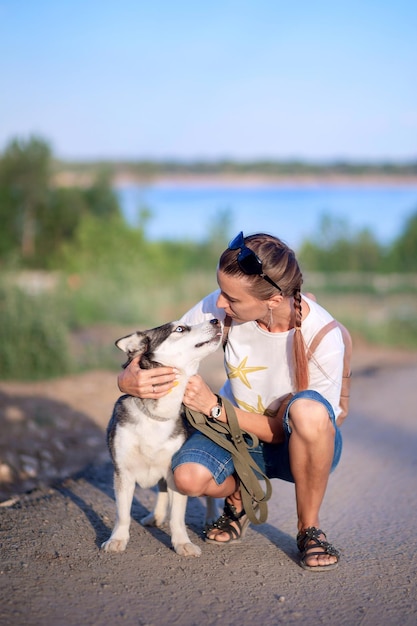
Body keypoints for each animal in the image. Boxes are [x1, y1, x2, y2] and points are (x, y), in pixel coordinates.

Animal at [101, 320, 223, 552]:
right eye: (180, 329)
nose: (216, 320)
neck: (156, 415)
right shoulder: (123, 473)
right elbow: (123, 514)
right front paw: (117, 539)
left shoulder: (175, 474)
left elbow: (177, 517)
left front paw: (182, 543)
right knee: (161, 491)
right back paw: (155, 516)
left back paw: (211, 517)